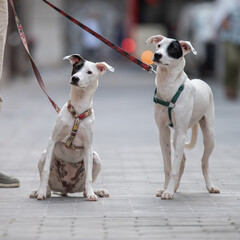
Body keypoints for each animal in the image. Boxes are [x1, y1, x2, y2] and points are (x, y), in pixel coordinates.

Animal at [30, 54, 114, 201]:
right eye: (76, 68)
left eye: (89, 72)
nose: (75, 78)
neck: (78, 110)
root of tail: (67, 188)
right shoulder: (52, 140)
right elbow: (45, 171)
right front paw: (40, 192)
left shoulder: (88, 146)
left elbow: (89, 177)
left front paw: (92, 194)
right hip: (43, 155)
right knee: (48, 185)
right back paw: (41, 191)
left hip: (96, 158)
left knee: (86, 186)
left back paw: (97, 191)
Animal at [145, 34, 220, 200]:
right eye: (158, 45)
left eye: (173, 48)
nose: (157, 55)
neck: (168, 86)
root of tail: (201, 81)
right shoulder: (164, 132)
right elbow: (169, 166)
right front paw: (166, 189)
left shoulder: (180, 133)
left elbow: (174, 167)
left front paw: (168, 192)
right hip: (177, 137)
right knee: (183, 161)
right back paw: (175, 187)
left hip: (209, 135)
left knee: (204, 162)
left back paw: (210, 186)